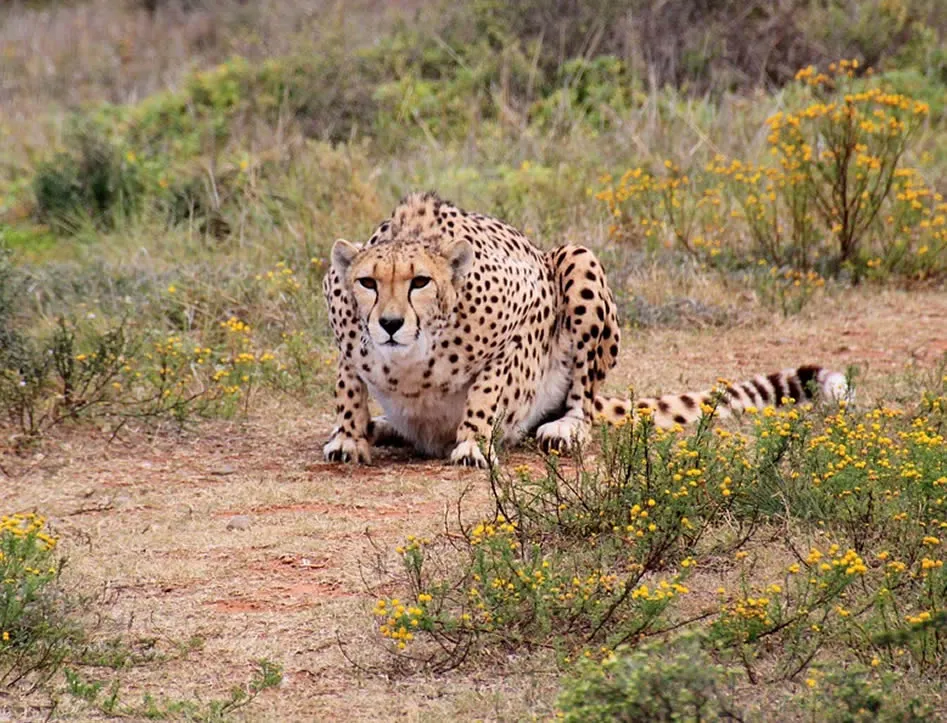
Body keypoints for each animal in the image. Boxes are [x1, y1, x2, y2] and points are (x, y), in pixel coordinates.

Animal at [322, 191, 849, 468]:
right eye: (368, 282)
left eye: (420, 282)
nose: (390, 324)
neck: (411, 358)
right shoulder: (344, 331)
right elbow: (348, 386)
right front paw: (350, 436)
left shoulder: (528, 311)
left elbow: (489, 388)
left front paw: (472, 440)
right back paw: (382, 426)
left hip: (577, 259)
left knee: (583, 396)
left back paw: (566, 427)